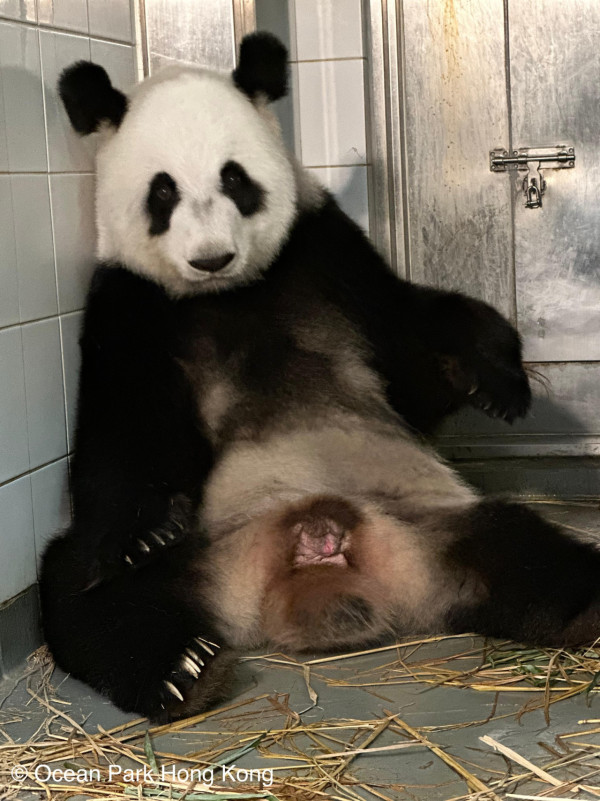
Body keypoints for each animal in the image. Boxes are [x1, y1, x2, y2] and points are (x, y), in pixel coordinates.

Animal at [39, 31, 600, 720]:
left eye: (234, 178)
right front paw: (146, 531)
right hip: (205, 552)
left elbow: (412, 347)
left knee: (526, 547)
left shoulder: (327, 252)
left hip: (436, 521)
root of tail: (314, 555)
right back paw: (180, 666)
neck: (230, 293)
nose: (211, 257)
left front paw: (498, 385)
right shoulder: (130, 303)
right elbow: (121, 436)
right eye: (162, 191)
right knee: (82, 584)